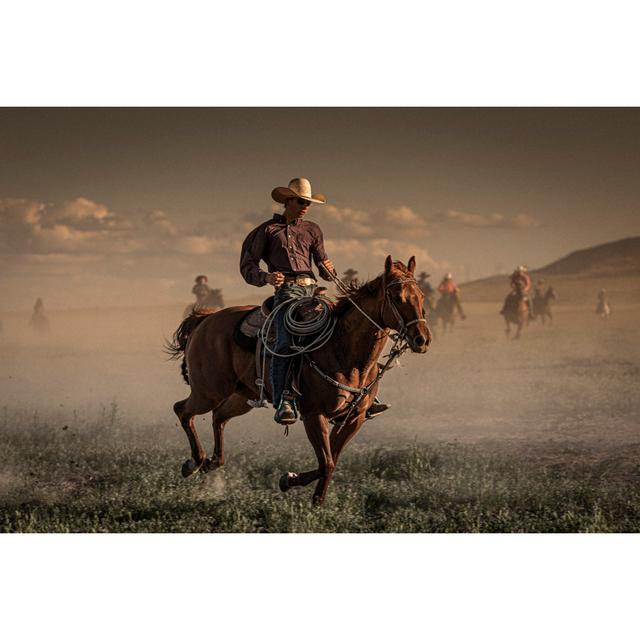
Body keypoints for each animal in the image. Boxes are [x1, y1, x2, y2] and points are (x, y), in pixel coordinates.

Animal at [168, 255, 432, 504]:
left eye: (420, 296)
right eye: (396, 296)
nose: (422, 339)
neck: (341, 349)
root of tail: (205, 320)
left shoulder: (354, 418)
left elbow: (331, 459)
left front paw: (294, 483)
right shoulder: (314, 415)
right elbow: (327, 463)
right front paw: (310, 499)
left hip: (241, 396)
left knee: (219, 417)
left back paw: (212, 462)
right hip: (209, 392)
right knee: (182, 410)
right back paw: (194, 462)